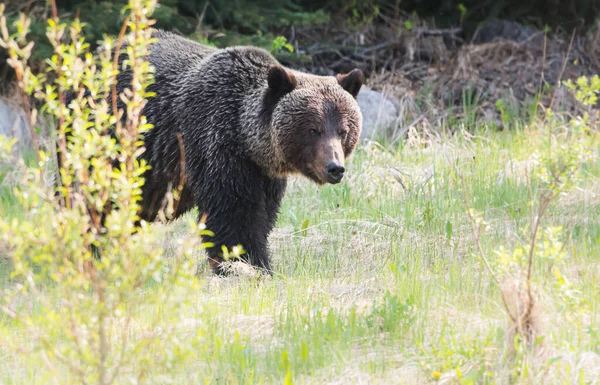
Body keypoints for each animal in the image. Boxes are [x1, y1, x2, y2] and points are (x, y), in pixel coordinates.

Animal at [114, 31, 364, 274]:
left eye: (343, 131)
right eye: (313, 130)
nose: (335, 168)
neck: (246, 139)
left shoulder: (266, 175)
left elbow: (263, 216)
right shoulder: (216, 145)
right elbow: (235, 214)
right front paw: (245, 264)